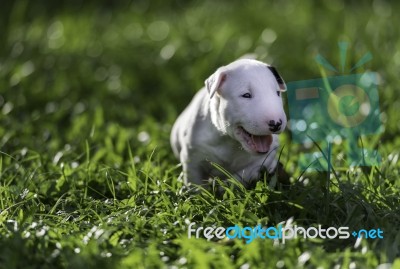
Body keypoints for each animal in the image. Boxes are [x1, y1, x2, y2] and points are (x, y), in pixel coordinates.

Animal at [170, 58, 286, 186]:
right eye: (246, 95)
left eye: (277, 93)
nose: (276, 124)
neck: (231, 142)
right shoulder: (192, 156)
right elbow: (194, 183)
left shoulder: (268, 155)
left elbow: (244, 174)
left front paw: (227, 185)